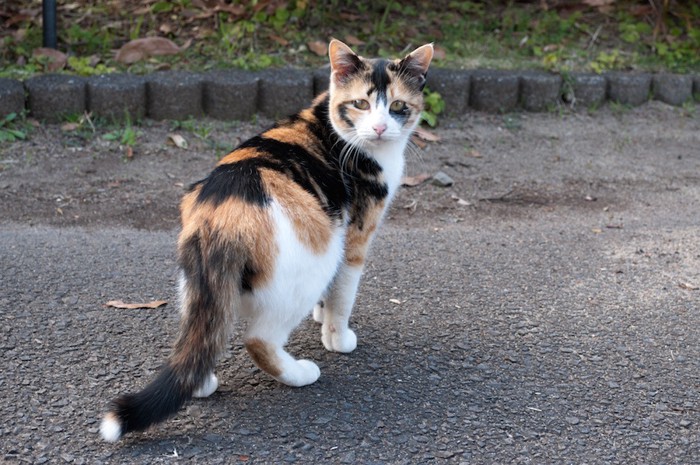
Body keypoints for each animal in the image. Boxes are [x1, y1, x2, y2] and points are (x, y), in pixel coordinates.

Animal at [101, 39, 434, 438]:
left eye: (398, 106)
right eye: (361, 104)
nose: (381, 127)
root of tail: (222, 216)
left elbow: (330, 297)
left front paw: (320, 315)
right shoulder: (353, 238)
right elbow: (342, 297)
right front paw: (337, 338)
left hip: (197, 287)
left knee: (201, 337)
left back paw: (201, 382)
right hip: (317, 257)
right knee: (258, 340)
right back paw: (300, 373)